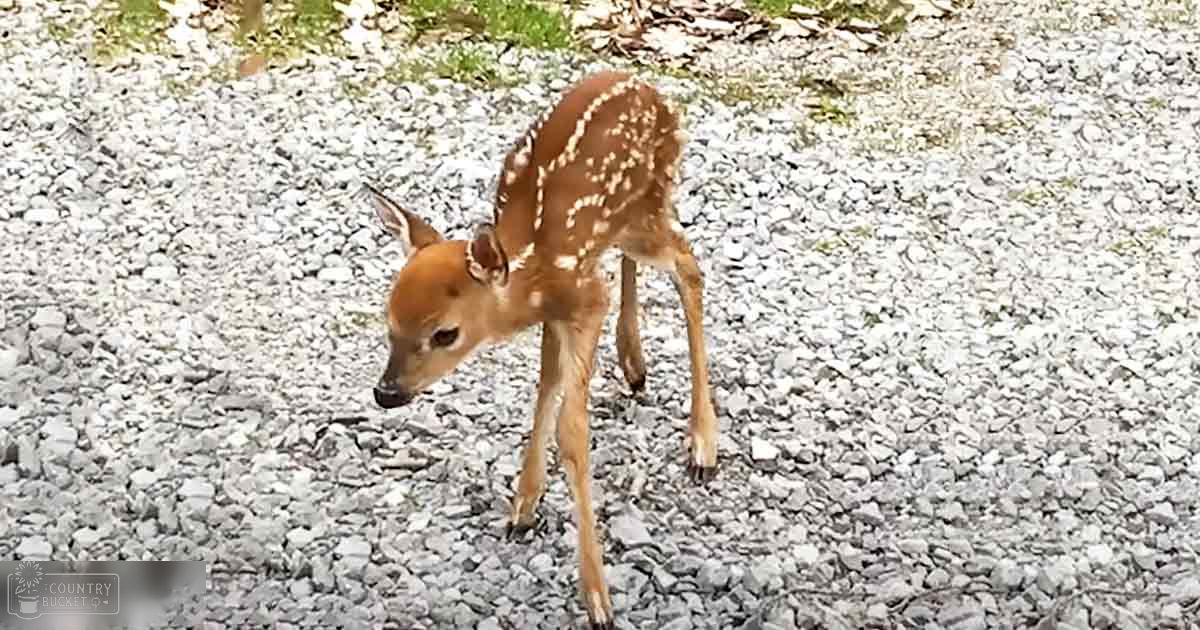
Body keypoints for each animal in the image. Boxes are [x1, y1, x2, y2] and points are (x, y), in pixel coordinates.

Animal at [359, 70, 719, 629]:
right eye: (388, 321)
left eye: (445, 334)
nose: (387, 392)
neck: (534, 268)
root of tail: (652, 90)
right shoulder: (561, 307)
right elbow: (545, 384)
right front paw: (523, 506)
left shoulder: (583, 300)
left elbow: (573, 433)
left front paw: (597, 599)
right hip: (629, 222)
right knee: (645, 262)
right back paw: (634, 362)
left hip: (651, 204)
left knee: (690, 268)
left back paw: (702, 445)